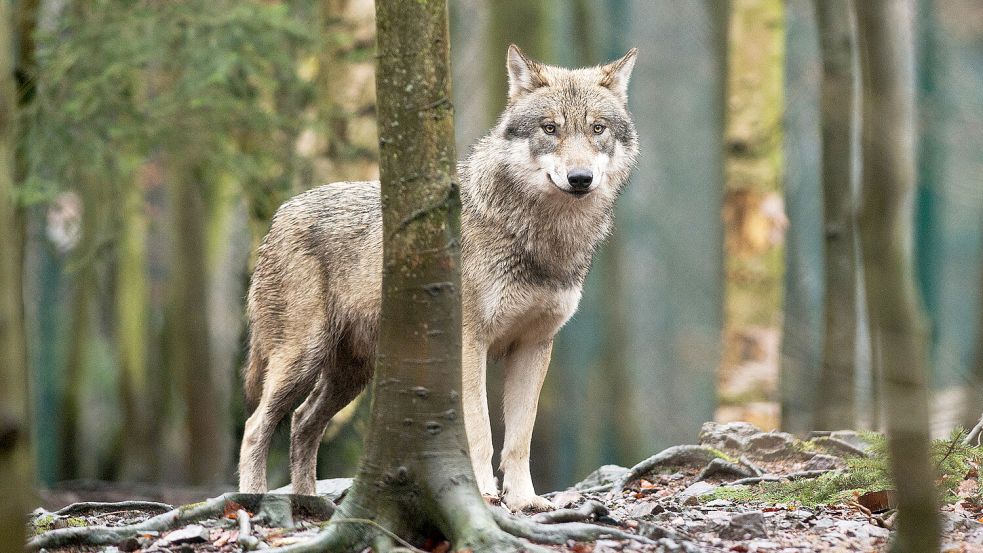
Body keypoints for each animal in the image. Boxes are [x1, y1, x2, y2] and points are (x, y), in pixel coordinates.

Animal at [238, 44, 639, 512]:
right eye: (550, 128)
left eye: (597, 129)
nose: (580, 178)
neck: (541, 238)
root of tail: (280, 214)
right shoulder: (469, 343)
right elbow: (480, 431)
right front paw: (483, 494)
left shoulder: (534, 346)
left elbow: (520, 438)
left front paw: (525, 501)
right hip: (302, 359)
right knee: (255, 427)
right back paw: (253, 500)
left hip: (351, 375)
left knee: (303, 423)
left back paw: (309, 504)